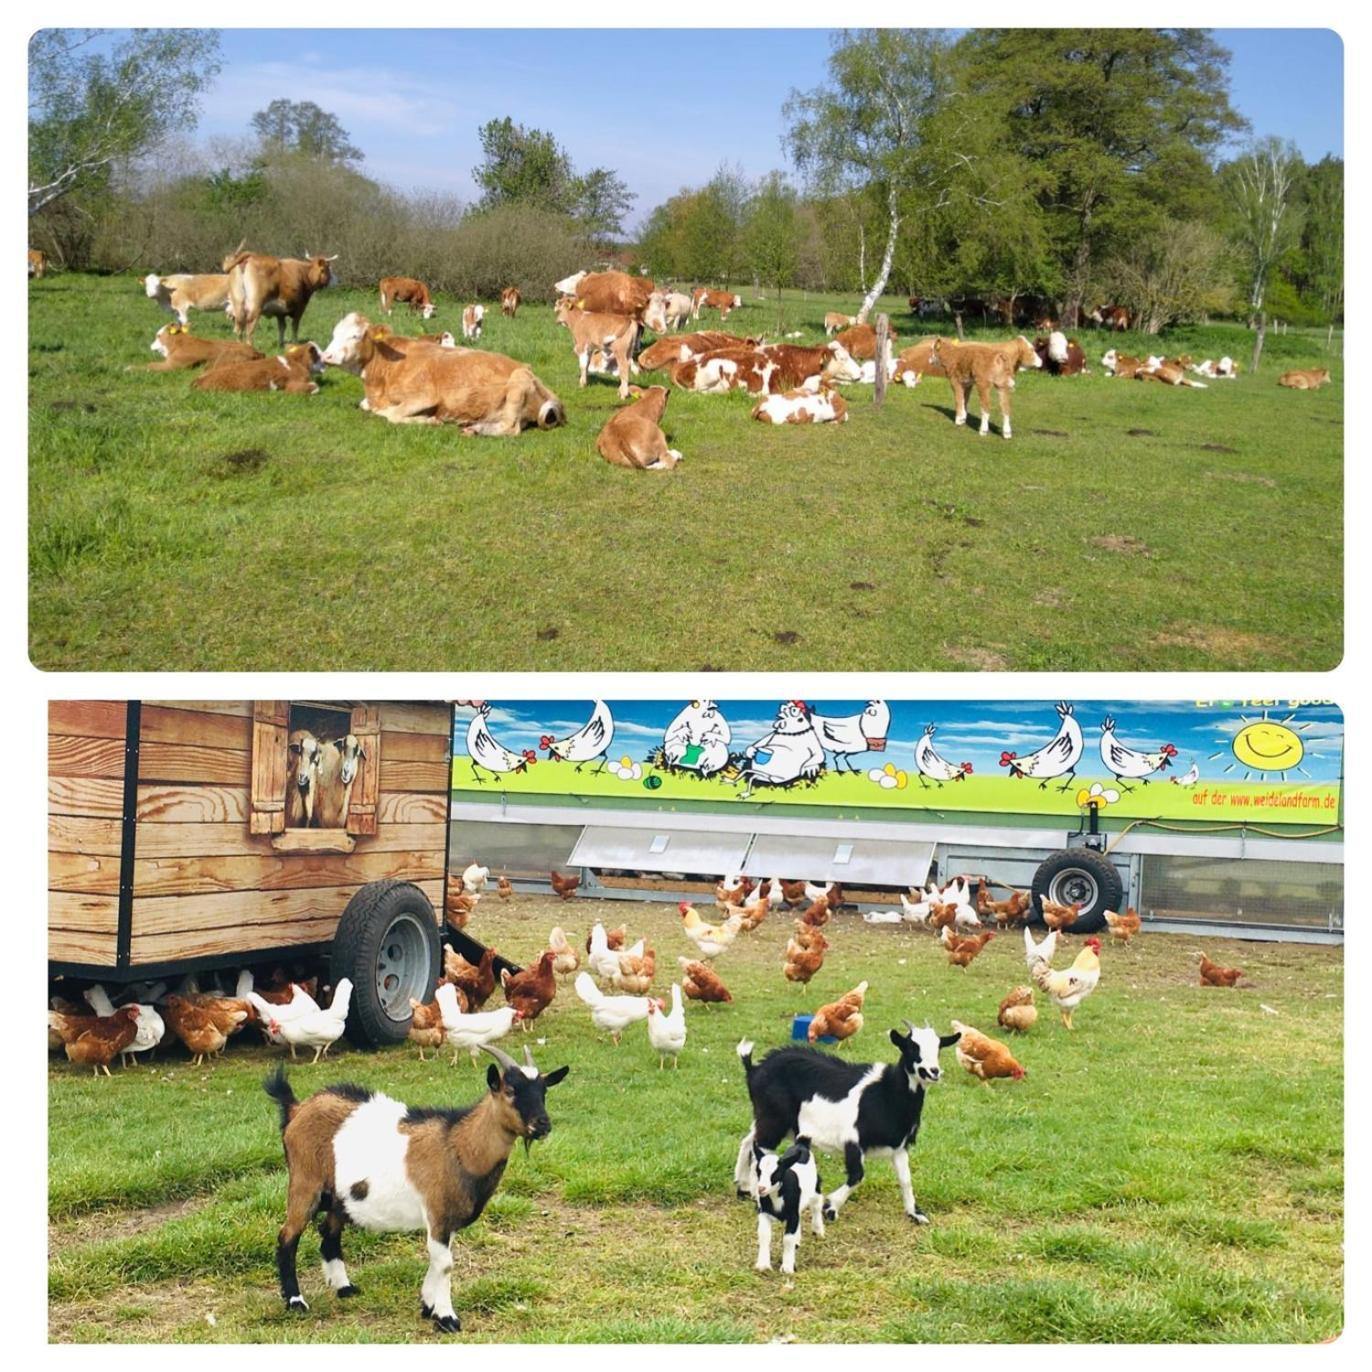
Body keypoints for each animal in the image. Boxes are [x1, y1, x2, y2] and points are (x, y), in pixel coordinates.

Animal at [190, 341, 323, 395]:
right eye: (319, 355)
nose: (325, 364)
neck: (295, 362)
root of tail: (198, 380)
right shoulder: (294, 384)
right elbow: (316, 387)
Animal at [264, 1037, 565, 1328]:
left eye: (544, 1091)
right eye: (510, 1091)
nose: (543, 1124)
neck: (459, 1145)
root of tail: (297, 1109)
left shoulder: (446, 1218)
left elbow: (438, 1260)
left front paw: (429, 1305)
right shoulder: (437, 1211)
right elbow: (445, 1264)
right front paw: (446, 1318)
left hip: (340, 1196)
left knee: (329, 1231)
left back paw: (344, 1287)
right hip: (304, 1181)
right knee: (288, 1235)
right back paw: (295, 1301)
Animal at [319, 314, 562, 436]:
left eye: (355, 335)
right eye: (333, 333)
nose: (326, 355)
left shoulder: (424, 396)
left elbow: (392, 415)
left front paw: (429, 420)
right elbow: (369, 406)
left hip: (517, 383)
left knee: (512, 428)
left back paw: (476, 428)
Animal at [735, 1026, 960, 1229]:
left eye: (939, 1048)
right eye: (912, 1047)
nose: (934, 1072)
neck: (886, 1094)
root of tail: (754, 1070)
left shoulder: (899, 1146)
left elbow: (905, 1179)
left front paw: (915, 1214)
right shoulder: (853, 1140)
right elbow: (857, 1176)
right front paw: (830, 1207)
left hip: (765, 1117)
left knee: (749, 1142)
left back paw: (743, 1187)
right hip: (773, 1119)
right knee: (761, 1149)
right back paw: (757, 1195)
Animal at [757, 1136, 817, 1273]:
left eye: (776, 1173)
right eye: (758, 1171)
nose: (761, 1188)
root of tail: (801, 1143)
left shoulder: (792, 1215)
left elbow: (788, 1239)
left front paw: (787, 1268)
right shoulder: (764, 1212)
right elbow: (764, 1234)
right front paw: (763, 1264)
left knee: (817, 1204)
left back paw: (818, 1230)